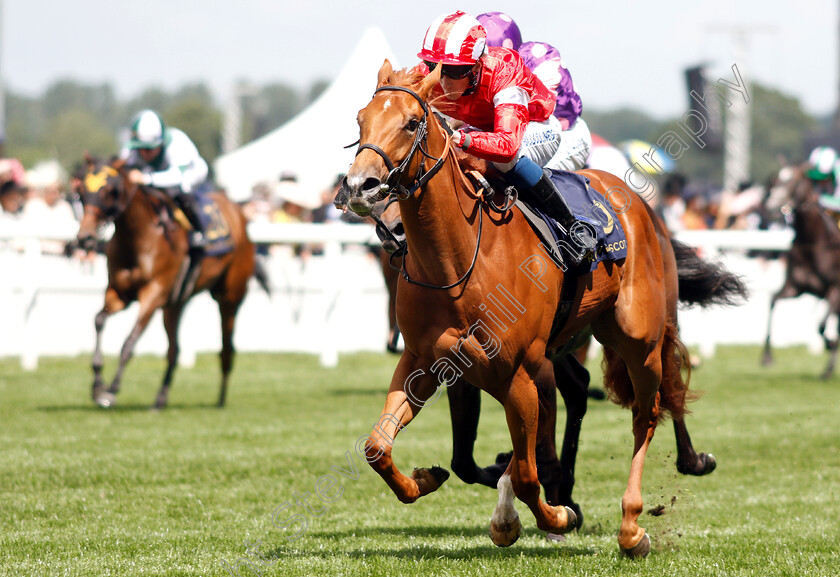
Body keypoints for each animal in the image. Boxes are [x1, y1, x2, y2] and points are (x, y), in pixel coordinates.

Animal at [76, 158, 270, 408]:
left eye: (110, 191)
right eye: (81, 191)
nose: (85, 238)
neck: (139, 236)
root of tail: (240, 213)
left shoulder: (153, 294)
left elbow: (129, 342)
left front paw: (110, 390)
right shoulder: (119, 293)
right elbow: (99, 320)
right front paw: (97, 386)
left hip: (229, 296)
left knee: (227, 348)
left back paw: (220, 399)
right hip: (176, 304)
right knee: (174, 350)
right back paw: (160, 399)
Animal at [344, 65, 744, 556]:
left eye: (410, 122)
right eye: (360, 120)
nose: (360, 186)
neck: (458, 262)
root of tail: (636, 202)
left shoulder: (519, 372)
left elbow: (528, 472)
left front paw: (553, 514)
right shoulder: (428, 362)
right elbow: (379, 448)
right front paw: (427, 478)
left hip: (641, 337)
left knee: (649, 410)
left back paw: (636, 520)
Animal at [760, 164, 840, 378]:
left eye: (793, 181)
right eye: (774, 180)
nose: (769, 205)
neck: (813, 243)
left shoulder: (835, 291)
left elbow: (821, 326)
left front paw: (829, 345)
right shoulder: (795, 288)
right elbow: (772, 302)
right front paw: (767, 357)